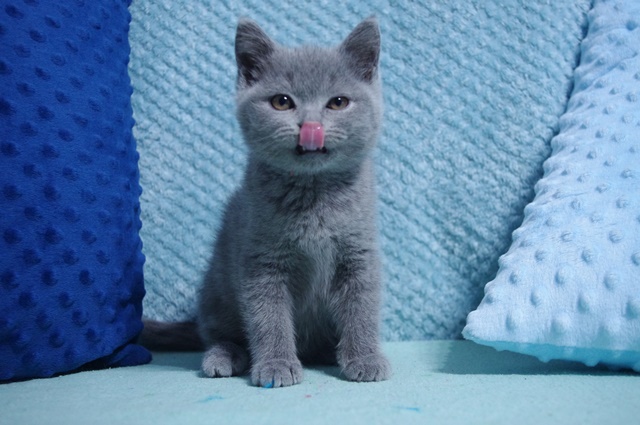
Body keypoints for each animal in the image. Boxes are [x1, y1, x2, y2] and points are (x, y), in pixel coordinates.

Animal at [143, 17, 390, 388]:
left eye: (338, 102)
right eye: (282, 102)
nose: (311, 126)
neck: (313, 194)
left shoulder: (359, 254)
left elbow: (362, 307)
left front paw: (364, 357)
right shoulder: (262, 263)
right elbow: (267, 317)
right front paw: (276, 364)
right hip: (217, 291)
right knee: (219, 334)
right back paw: (224, 358)